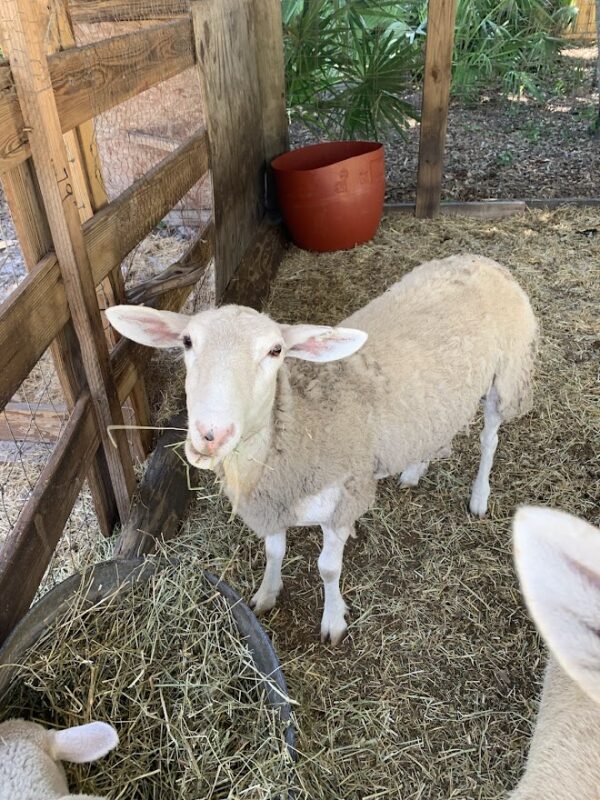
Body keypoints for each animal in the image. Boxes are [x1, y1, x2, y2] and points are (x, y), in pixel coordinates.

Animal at [105, 255, 536, 644]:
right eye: (187, 342)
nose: (210, 434)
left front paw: (333, 620)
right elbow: (274, 551)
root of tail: (481, 259)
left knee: (490, 439)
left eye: (276, 351)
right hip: (430, 407)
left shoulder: (342, 499)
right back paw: (415, 469)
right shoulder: (275, 502)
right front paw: (267, 594)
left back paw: (479, 496)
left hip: (506, 374)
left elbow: (328, 568)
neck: (298, 421)